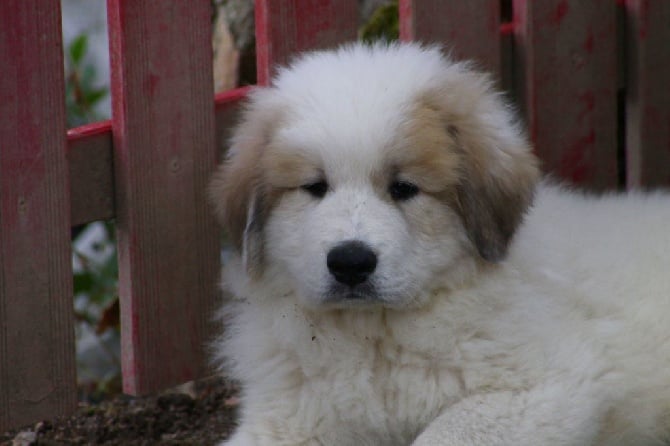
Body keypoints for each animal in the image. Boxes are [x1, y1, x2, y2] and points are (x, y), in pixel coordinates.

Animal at [210, 42, 670, 446]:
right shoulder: (291, 416)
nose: (351, 262)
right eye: (315, 187)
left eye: (403, 188)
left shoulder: (542, 386)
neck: (373, 334)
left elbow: (441, 434)